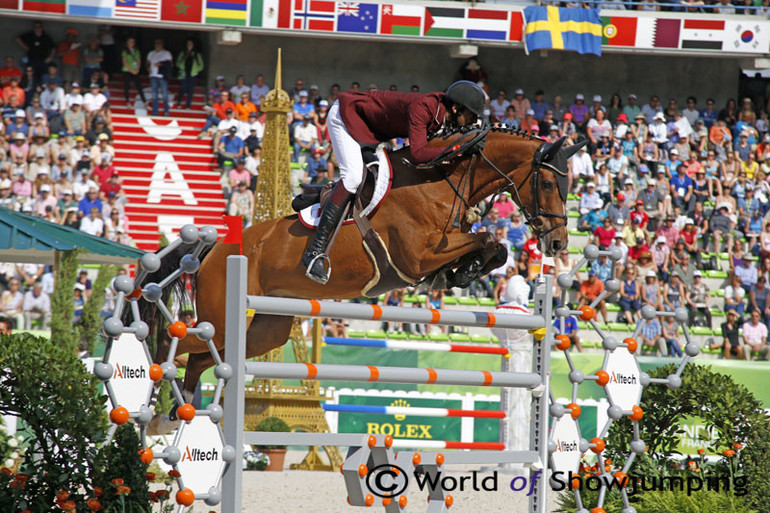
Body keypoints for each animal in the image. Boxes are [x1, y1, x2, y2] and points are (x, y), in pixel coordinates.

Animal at [144, 128, 580, 400]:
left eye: (567, 185)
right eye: (546, 183)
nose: (558, 242)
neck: (441, 181)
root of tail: (217, 248)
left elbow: (494, 246)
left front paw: (463, 271)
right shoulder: (415, 256)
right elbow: (489, 238)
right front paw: (461, 270)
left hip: (265, 331)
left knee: (204, 357)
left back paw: (176, 411)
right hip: (223, 319)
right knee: (177, 341)